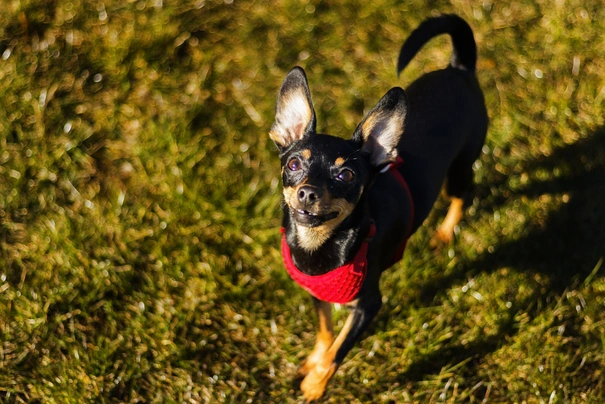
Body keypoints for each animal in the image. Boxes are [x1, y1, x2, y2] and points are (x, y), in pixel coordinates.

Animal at [268, 13, 486, 400]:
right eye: (294, 164)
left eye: (346, 174)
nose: (307, 192)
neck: (319, 245)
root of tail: (458, 69)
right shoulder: (318, 294)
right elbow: (326, 332)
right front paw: (313, 362)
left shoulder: (369, 306)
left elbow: (338, 350)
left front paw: (316, 385)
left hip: (460, 169)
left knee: (462, 196)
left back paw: (445, 233)